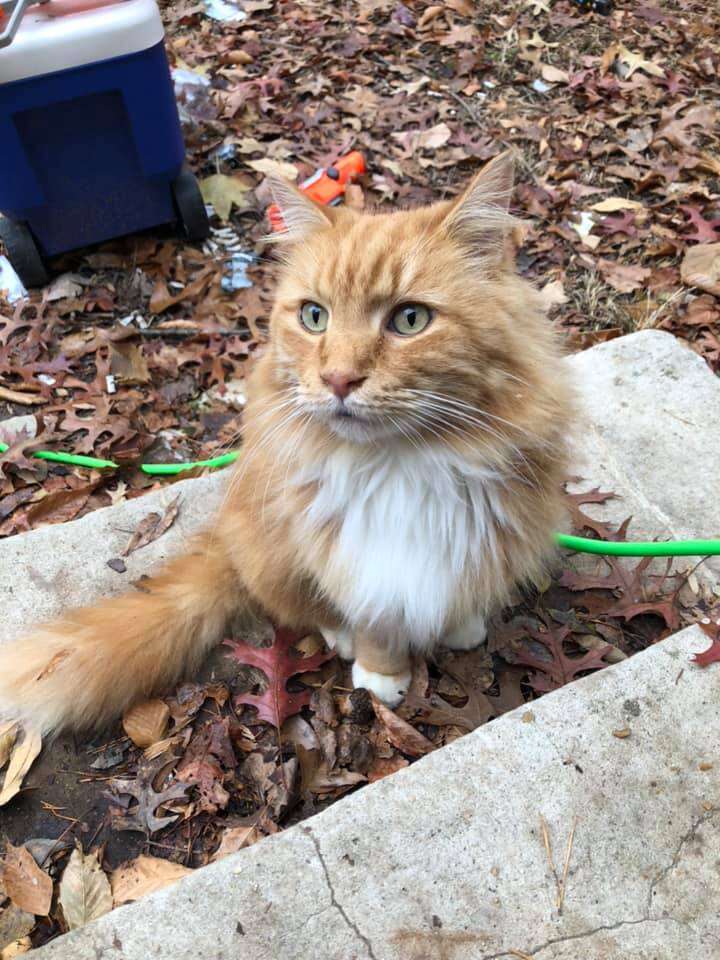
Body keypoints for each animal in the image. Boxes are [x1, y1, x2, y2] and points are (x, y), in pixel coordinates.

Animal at [0, 154, 572, 732]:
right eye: (314, 317)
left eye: (410, 320)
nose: (339, 379)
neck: (403, 465)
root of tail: (227, 539)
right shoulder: (361, 566)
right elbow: (378, 625)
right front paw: (382, 676)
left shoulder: (484, 534)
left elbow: (461, 587)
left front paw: (461, 624)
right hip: (272, 550)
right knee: (303, 609)